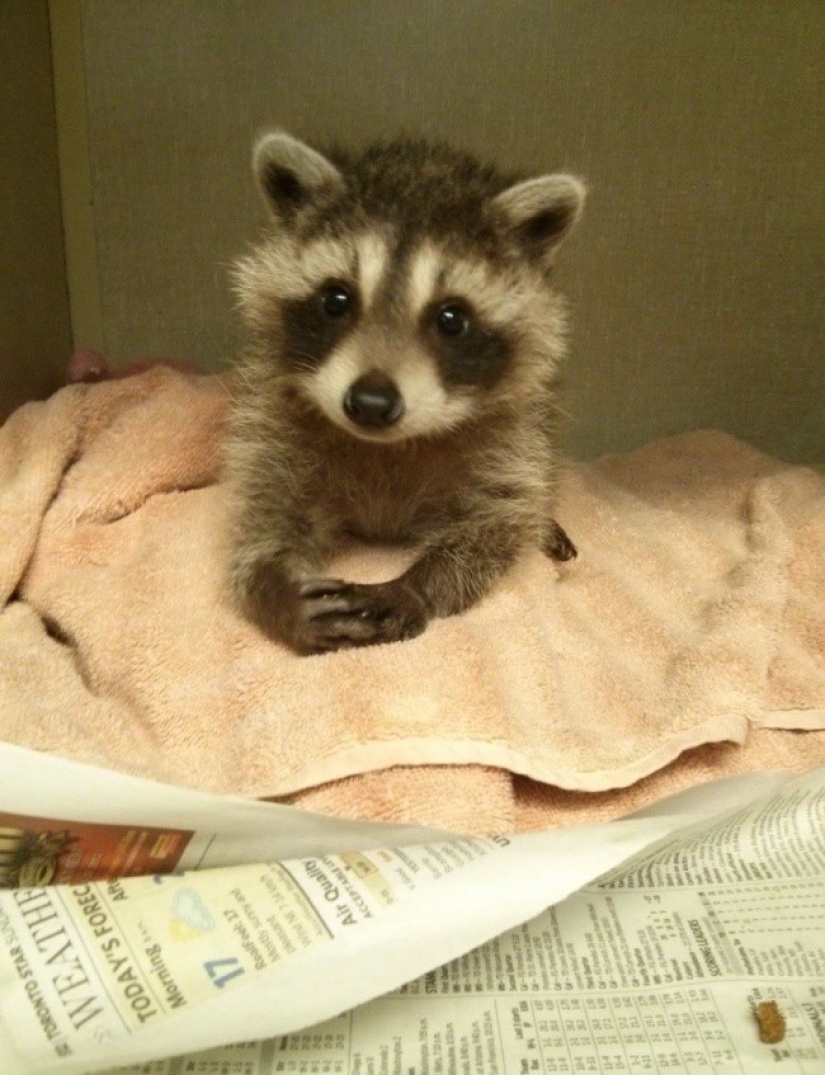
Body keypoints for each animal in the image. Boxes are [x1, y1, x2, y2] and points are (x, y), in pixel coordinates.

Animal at [225, 131, 585, 654]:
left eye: (451, 319)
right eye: (336, 299)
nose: (371, 404)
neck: (388, 445)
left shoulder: (512, 439)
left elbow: (495, 523)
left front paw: (418, 585)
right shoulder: (273, 422)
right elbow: (264, 511)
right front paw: (274, 585)